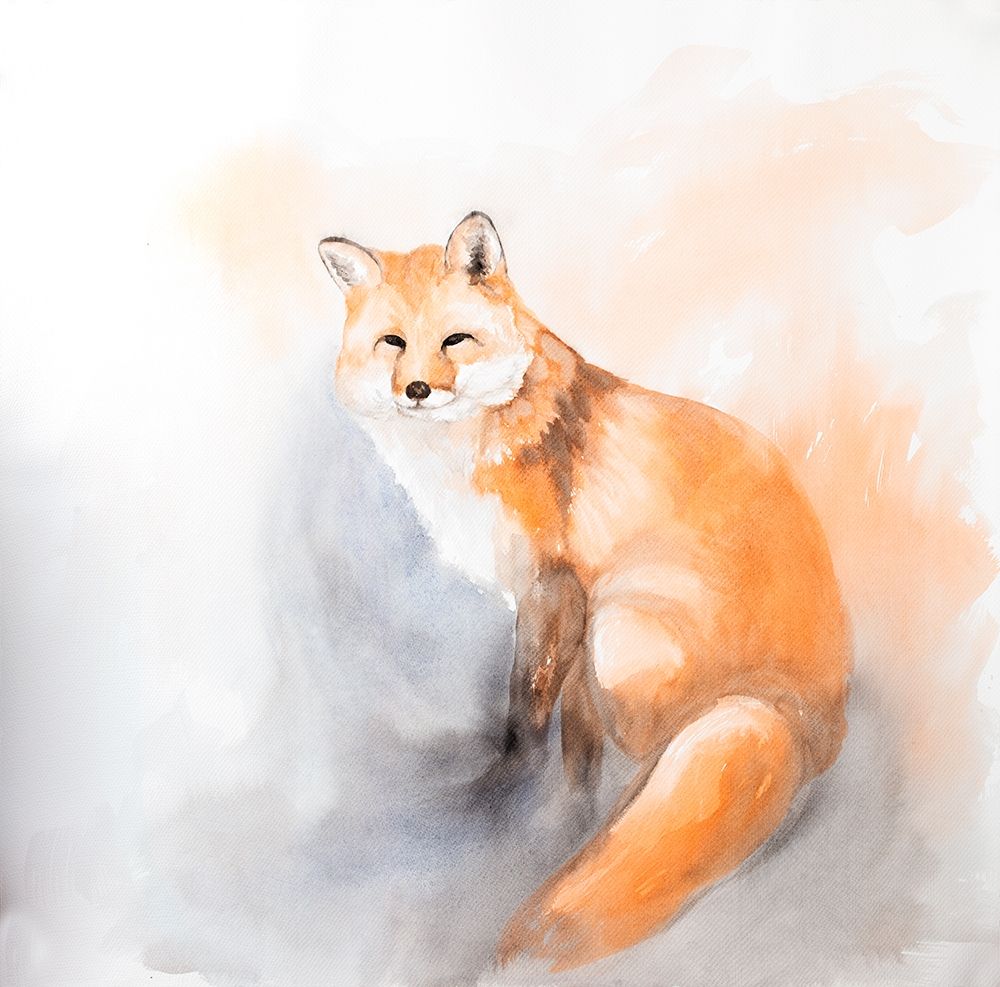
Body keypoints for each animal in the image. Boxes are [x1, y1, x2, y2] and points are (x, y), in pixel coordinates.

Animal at [318, 212, 851, 972]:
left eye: (455, 340)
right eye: (392, 344)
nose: (417, 389)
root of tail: (802, 718)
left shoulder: (557, 589)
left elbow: (525, 711)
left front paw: (502, 794)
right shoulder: (562, 606)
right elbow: (571, 728)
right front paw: (565, 803)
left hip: (622, 629)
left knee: (658, 756)